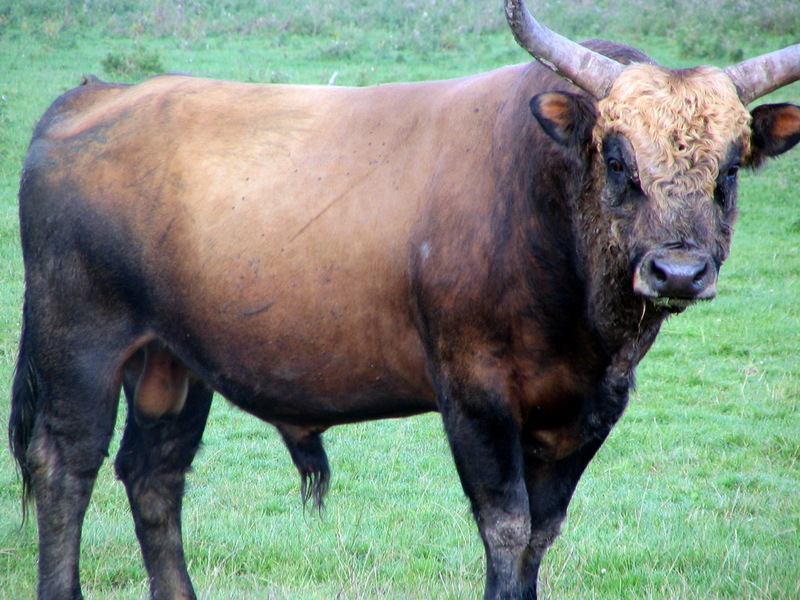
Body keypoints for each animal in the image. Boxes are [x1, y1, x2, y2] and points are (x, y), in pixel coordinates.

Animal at [7, 1, 800, 600]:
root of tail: (95, 95)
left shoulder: (586, 412)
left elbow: (541, 534)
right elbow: (506, 529)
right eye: (616, 157)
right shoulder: (475, 395)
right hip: (80, 345)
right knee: (65, 465)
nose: (678, 272)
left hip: (171, 362)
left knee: (154, 475)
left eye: (731, 167)